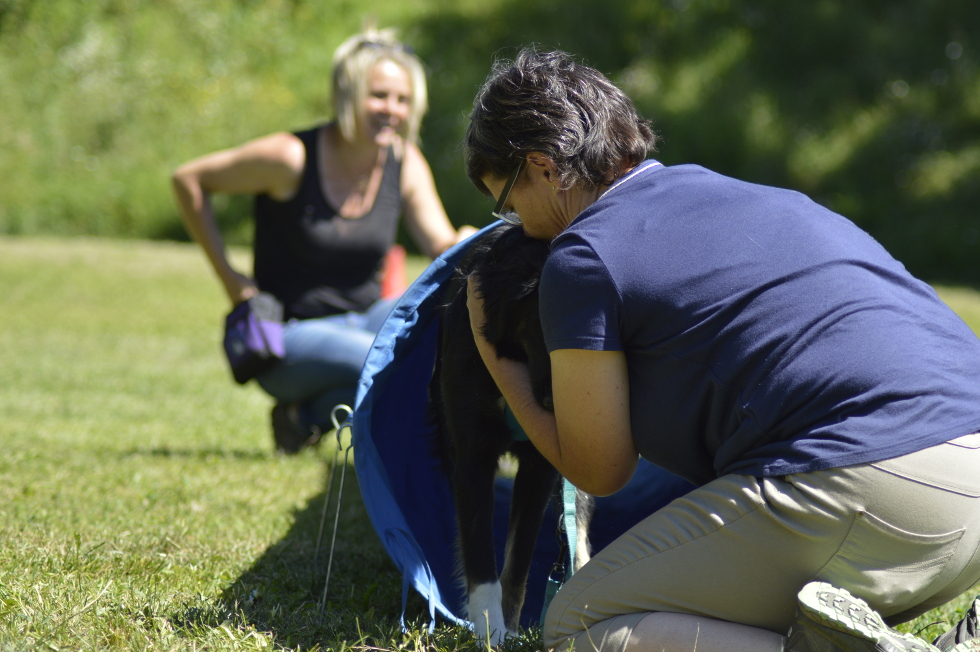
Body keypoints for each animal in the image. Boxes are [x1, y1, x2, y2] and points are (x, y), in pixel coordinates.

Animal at [426, 225, 592, 648]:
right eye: (547, 327)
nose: (559, 411)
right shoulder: (472, 455)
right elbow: (481, 555)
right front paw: (491, 631)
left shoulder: (540, 466)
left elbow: (518, 560)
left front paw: (510, 629)